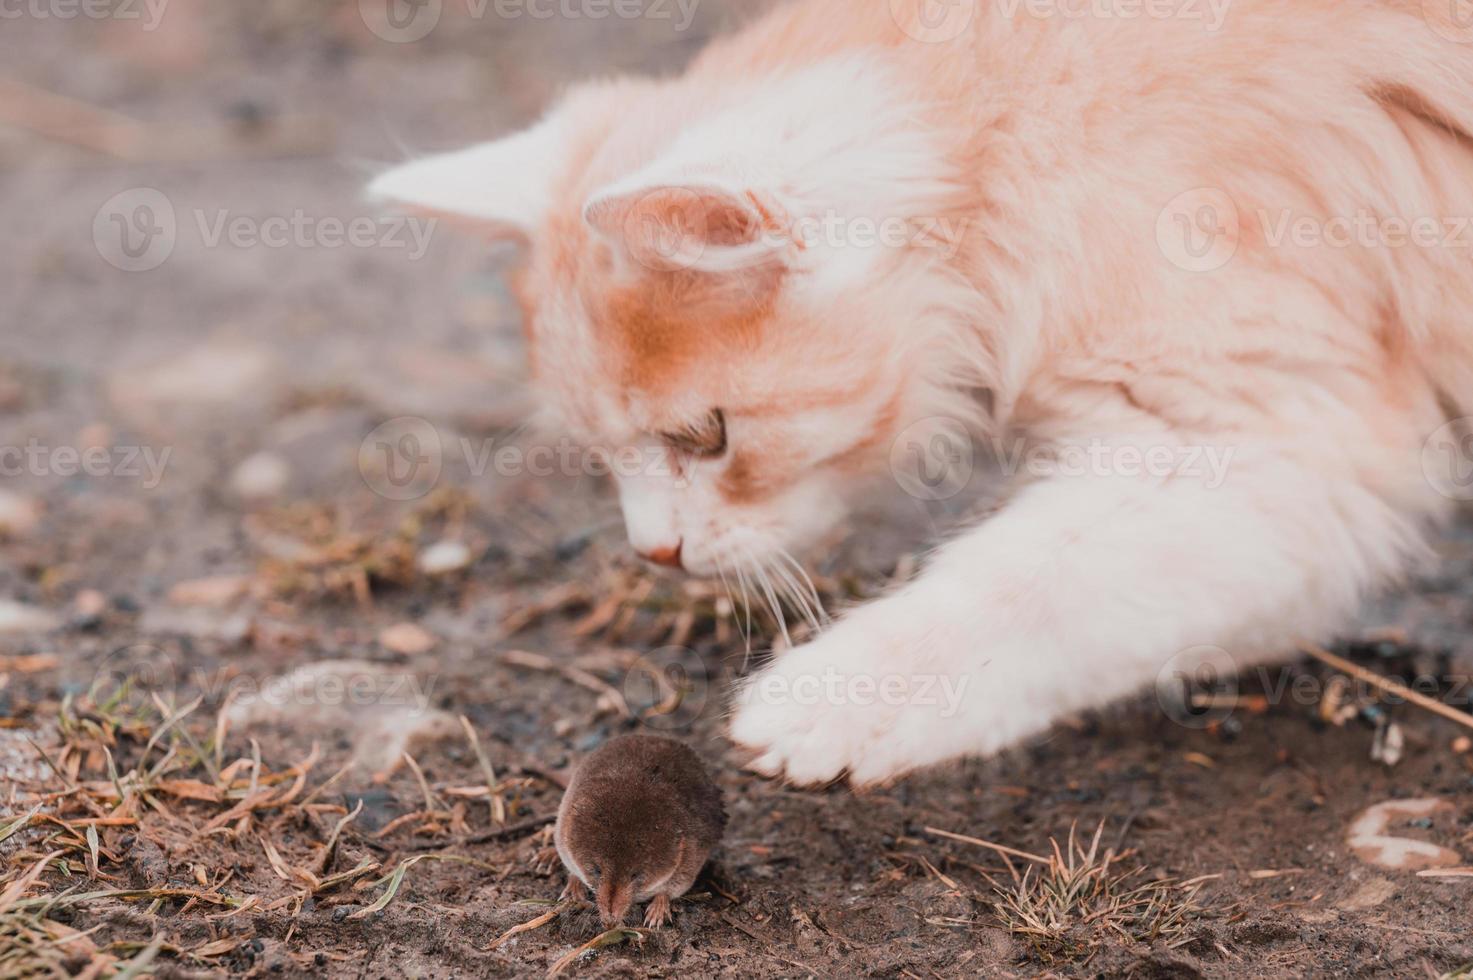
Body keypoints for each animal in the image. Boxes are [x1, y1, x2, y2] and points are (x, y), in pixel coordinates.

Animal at [365, 0, 1473, 778]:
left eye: (705, 435)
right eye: (610, 456)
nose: (656, 553)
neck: (998, 127)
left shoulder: (1276, 443)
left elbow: (1024, 587)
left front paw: (830, 702)